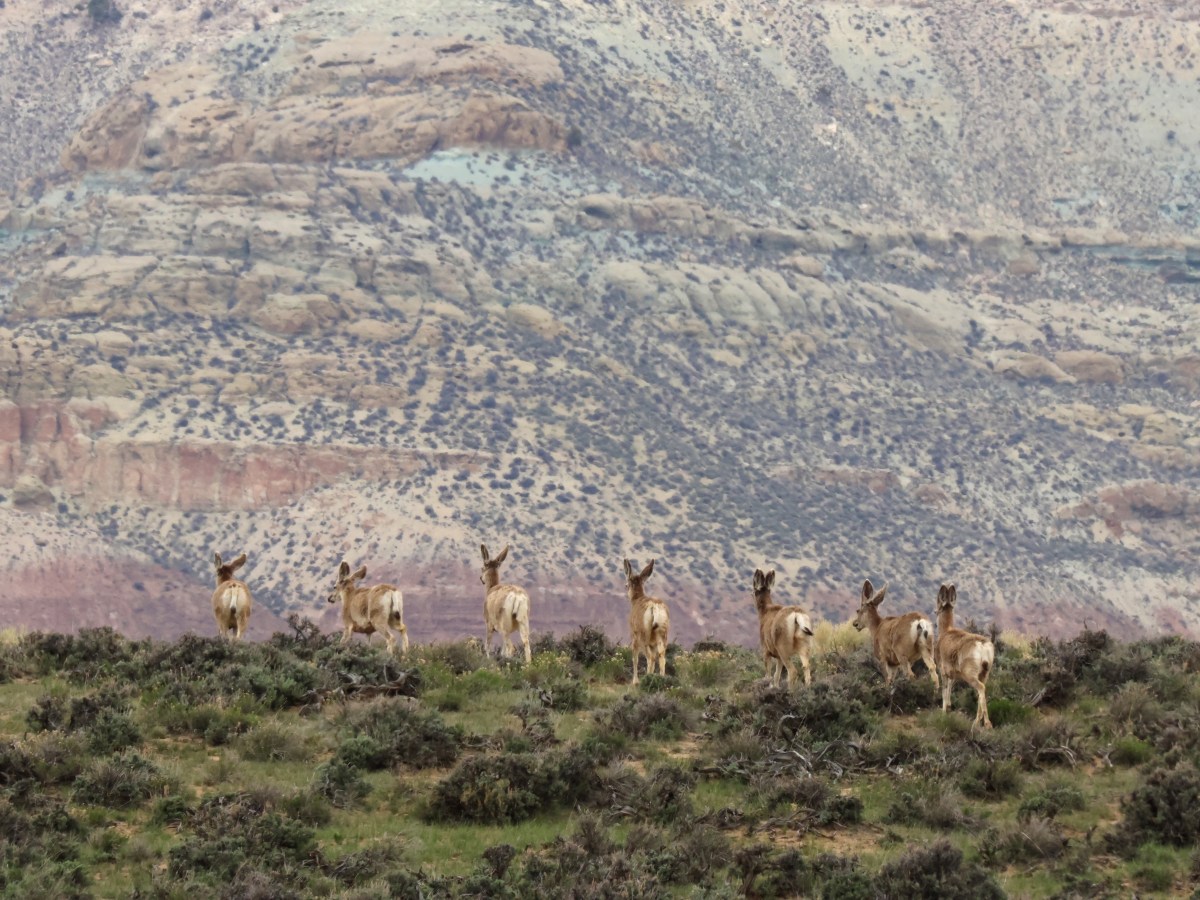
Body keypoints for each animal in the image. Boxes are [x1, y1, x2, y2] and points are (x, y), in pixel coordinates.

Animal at [935, 583, 995, 728]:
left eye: (938, 601)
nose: (935, 611)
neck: (946, 632)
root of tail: (982, 645)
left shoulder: (943, 671)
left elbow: (944, 692)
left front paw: (943, 713)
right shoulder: (952, 675)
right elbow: (949, 691)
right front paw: (948, 709)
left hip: (970, 675)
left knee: (981, 688)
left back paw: (982, 723)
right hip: (984, 674)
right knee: (982, 691)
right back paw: (981, 722)